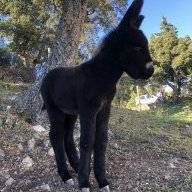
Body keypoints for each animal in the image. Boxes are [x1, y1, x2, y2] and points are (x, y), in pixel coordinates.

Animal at [41, 0, 154, 190]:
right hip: (53, 108)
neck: (101, 75)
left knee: (67, 136)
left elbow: (101, 142)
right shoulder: (89, 109)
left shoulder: (104, 108)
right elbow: (87, 142)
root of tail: (47, 75)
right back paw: (65, 175)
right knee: (56, 136)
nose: (151, 71)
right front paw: (84, 183)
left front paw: (102, 181)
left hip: (70, 112)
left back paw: (76, 166)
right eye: (138, 47)